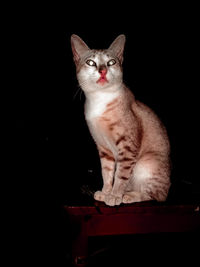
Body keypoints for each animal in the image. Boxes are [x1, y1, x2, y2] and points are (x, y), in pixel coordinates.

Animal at [70, 34, 170, 207]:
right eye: (91, 62)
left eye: (111, 62)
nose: (102, 71)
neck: (99, 101)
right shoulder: (104, 148)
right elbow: (107, 173)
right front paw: (105, 192)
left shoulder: (127, 147)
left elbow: (120, 175)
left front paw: (115, 196)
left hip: (146, 163)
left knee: (156, 195)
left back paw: (128, 196)